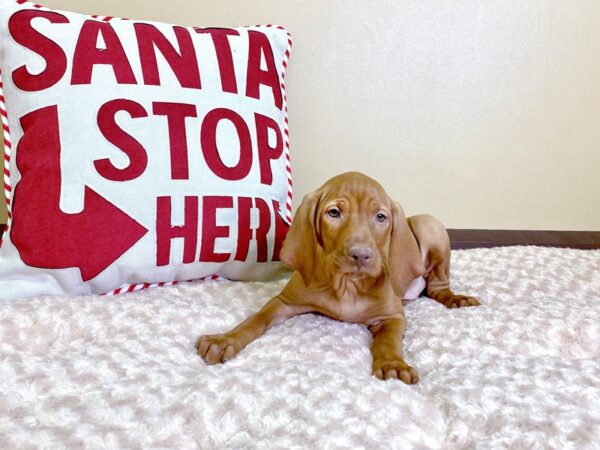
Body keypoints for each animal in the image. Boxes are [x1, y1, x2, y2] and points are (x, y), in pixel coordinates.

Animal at [197, 172, 478, 384]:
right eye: (334, 213)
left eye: (381, 217)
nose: (361, 255)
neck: (347, 285)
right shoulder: (284, 302)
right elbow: (256, 319)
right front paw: (225, 340)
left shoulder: (392, 316)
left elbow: (388, 340)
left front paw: (393, 364)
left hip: (428, 224)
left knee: (438, 285)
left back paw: (456, 299)